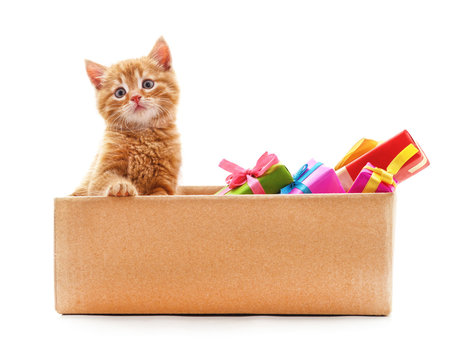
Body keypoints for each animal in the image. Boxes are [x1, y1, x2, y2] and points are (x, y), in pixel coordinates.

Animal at [71, 36, 181, 197]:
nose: (135, 97)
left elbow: (160, 194)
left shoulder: (166, 184)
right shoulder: (99, 175)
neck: (143, 134)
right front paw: (121, 186)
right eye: (120, 93)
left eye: (148, 84)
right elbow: (107, 180)